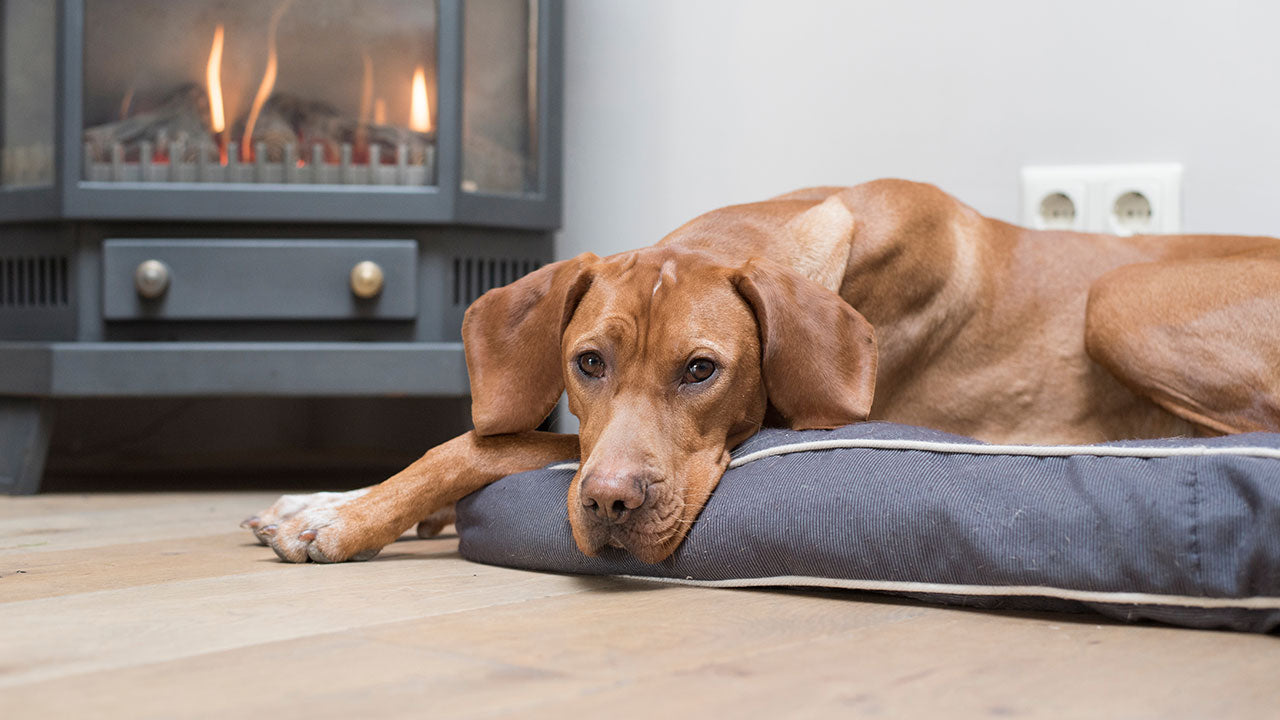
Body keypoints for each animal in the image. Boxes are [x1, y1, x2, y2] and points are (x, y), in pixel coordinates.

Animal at [244, 178, 1280, 561]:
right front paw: (331, 499)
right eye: (587, 362)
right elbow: (494, 431)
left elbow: (485, 446)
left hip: (1123, 298)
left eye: (702, 370)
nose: (612, 505)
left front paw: (344, 518)